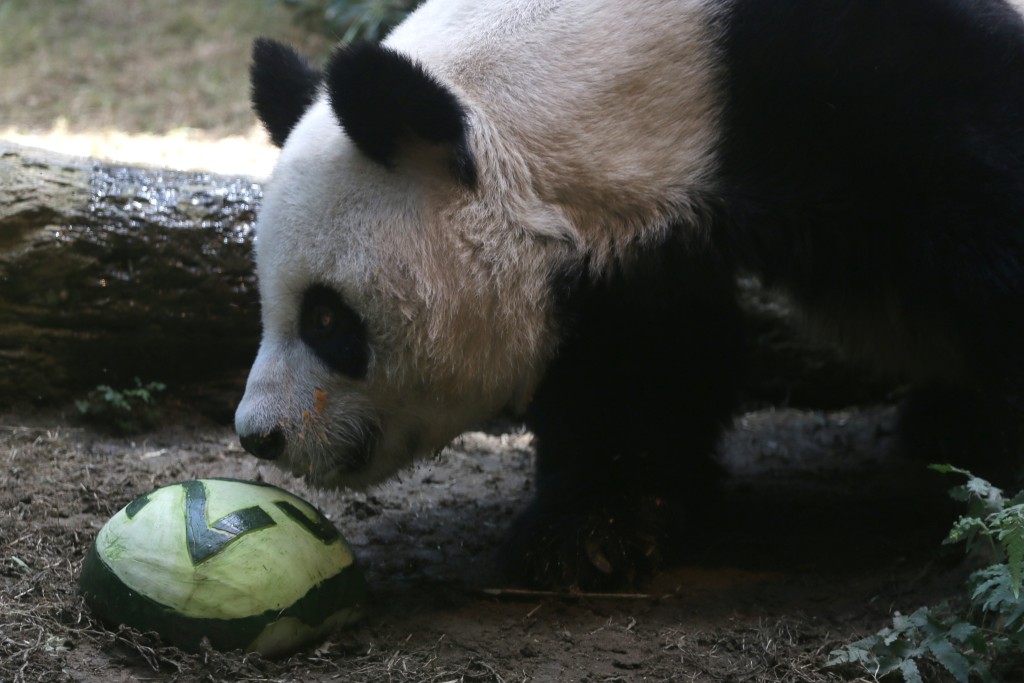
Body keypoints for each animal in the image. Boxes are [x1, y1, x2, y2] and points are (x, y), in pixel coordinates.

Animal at [235, 0, 1024, 589]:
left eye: (327, 317)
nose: (259, 434)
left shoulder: (883, 85)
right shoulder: (630, 247)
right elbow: (639, 365)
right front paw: (590, 532)